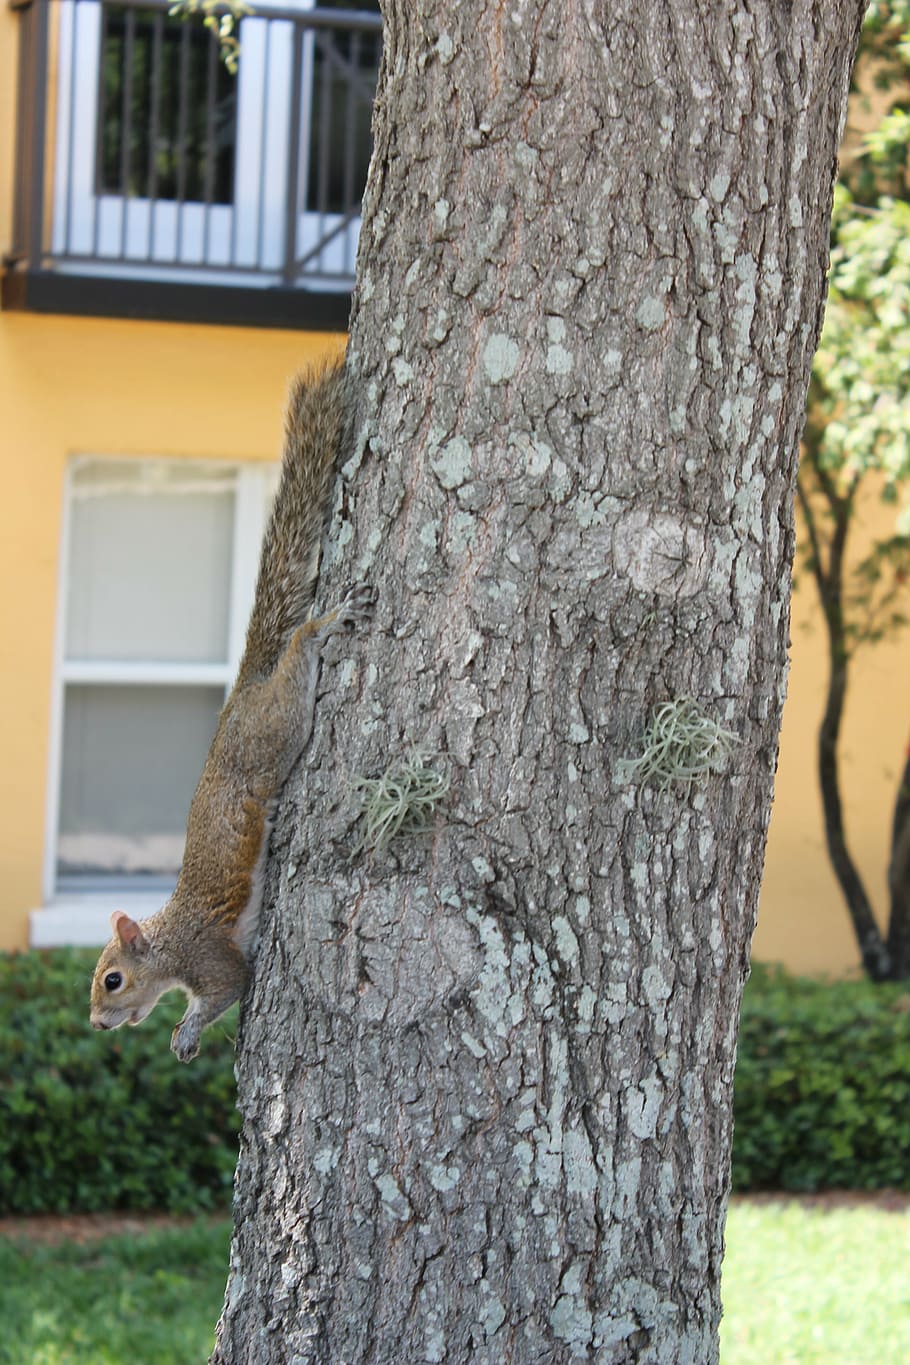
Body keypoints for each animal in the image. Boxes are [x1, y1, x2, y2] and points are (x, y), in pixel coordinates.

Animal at [89, 358, 371, 1062]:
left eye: (113, 979)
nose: (97, 1025)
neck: (168, 940)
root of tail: (244, 691)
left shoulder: (210, 959)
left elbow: (227, 989)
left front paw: (186, 1033)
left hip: (277, 728)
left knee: (299, 660)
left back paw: (324, 627)